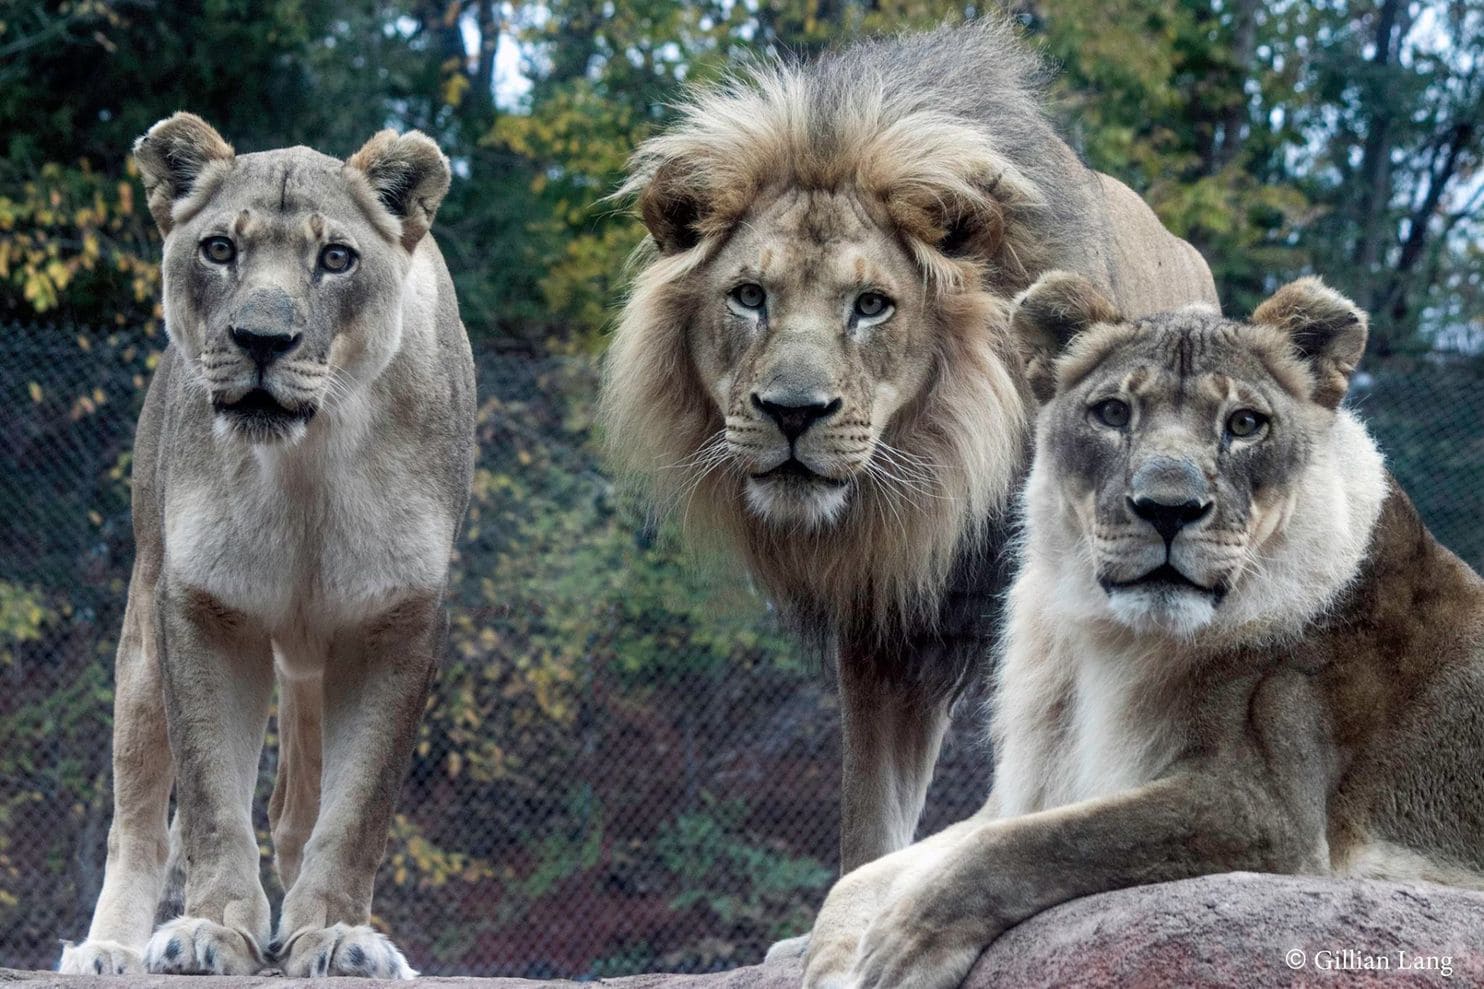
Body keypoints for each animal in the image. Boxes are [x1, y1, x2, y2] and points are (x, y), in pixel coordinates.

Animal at [56, 115, 474, 980]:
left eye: (337, 258)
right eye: (219, 248)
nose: (261, 338)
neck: (305, 466)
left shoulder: (397, 622)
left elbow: (355, 811)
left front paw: (340, 936)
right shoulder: (200, 608)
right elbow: (210, 799)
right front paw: (209, 931)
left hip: (314, 670)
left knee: (294, 810)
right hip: (141, 639)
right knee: (138, 823)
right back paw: (109, 949)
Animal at [602, 17, 1216, 873]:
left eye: (872, 305)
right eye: (749, 296)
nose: (793, 412)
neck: (950, 482)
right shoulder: (885, 632)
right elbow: (871, 817)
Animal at [801, 271, 1484, 986]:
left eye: (1244, 424)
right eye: (1112, 414)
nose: (1168, 509)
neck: (1103, 637)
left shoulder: (1264, 813)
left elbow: (1042, 843)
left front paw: (903, 944)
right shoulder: (1032, 786)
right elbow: (859, 881)